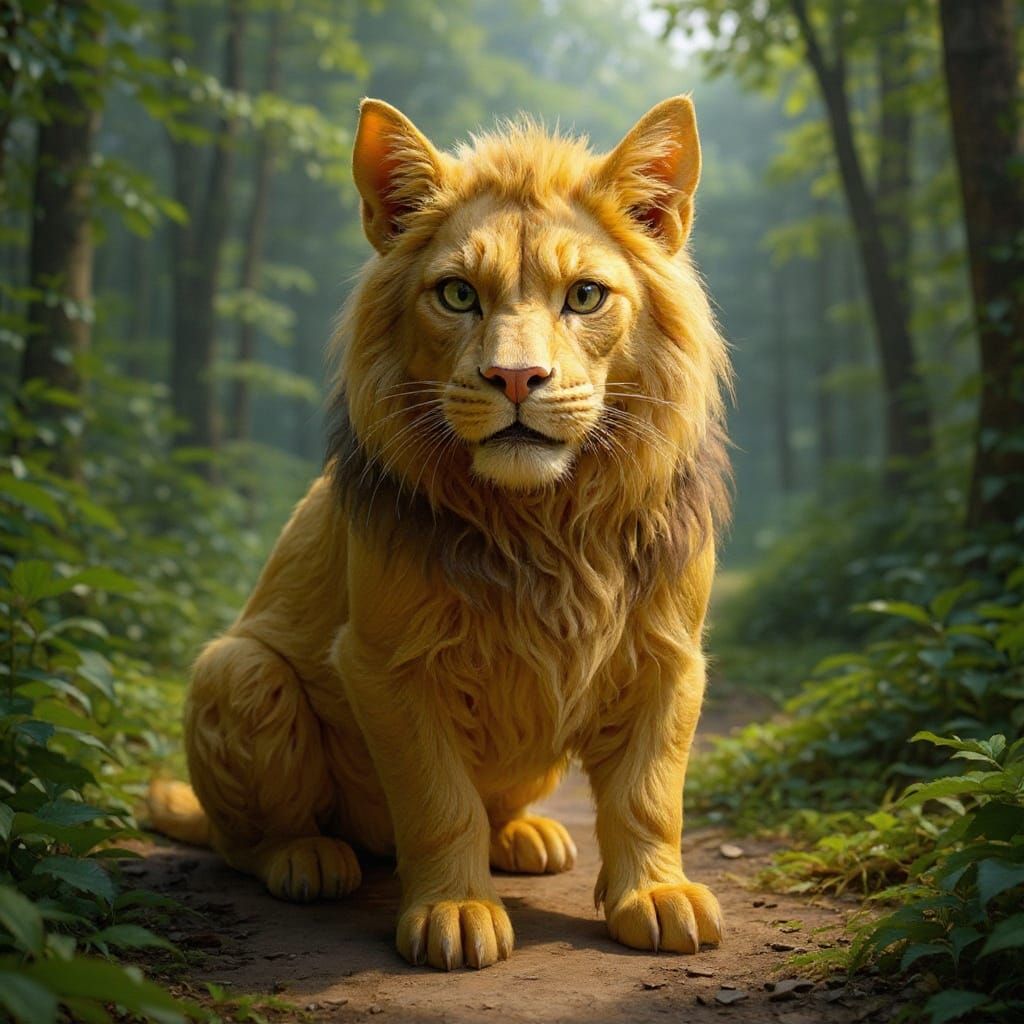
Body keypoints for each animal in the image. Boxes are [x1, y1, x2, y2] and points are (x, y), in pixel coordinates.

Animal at [149, 95, 732, 971]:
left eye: (585, 297)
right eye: (457, 295)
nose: (516, 378)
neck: (545, 523)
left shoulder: (669, 656)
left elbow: (649, 793)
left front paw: (657, 896)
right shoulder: (386, 665)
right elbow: (437, 800)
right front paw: (455, 910)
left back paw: (525, 838)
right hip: (237, 670)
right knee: (237, 839)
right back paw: (306, 858)